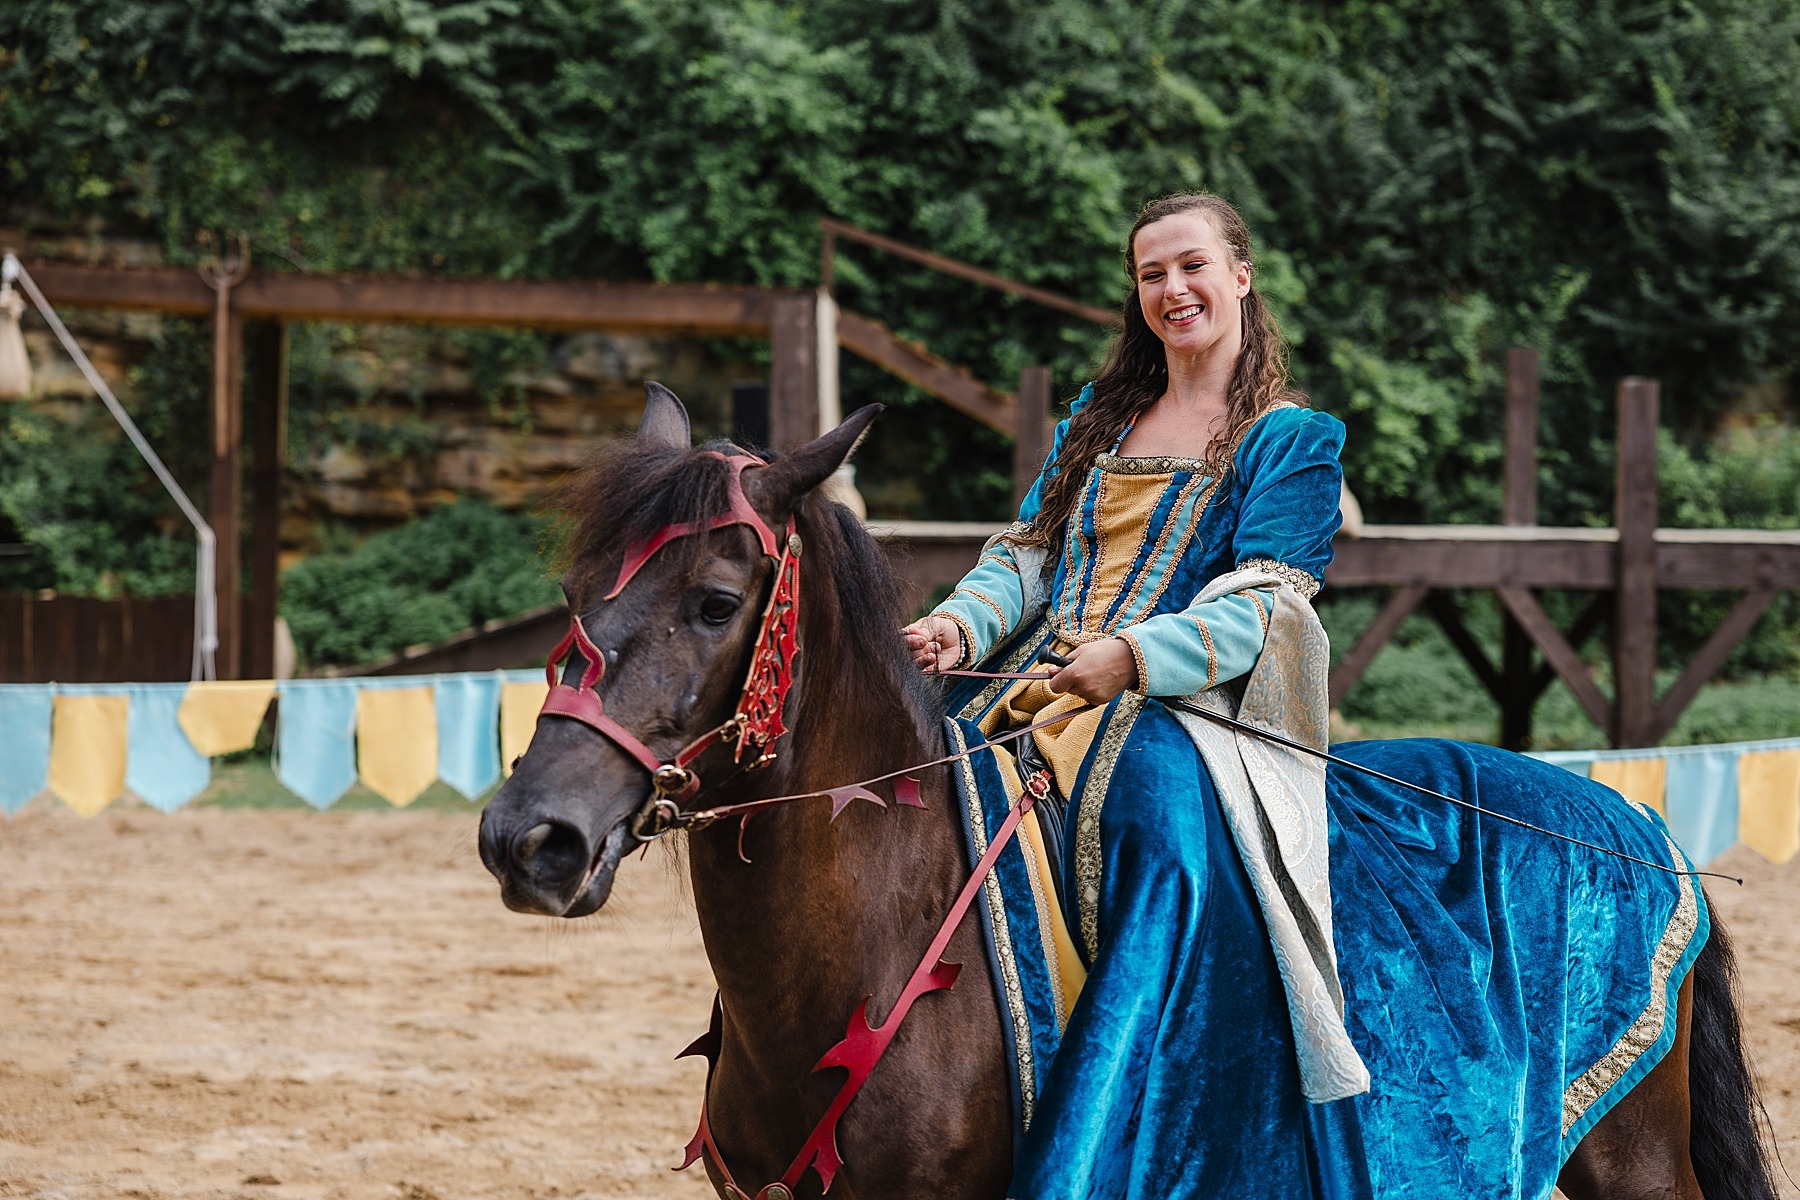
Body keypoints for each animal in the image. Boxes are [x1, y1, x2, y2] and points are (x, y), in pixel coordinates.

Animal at [482, 386, 1785, 1200]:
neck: (880, 941)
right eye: (579, 592)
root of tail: (1640, 821)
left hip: (1634, 1163)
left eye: (715, 602)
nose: (528, 837)